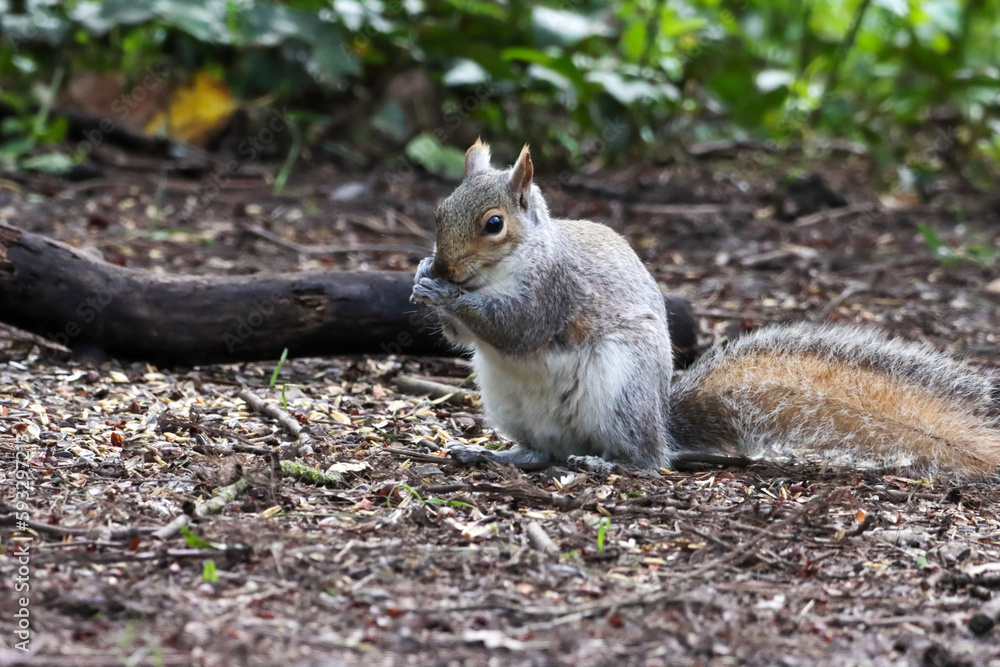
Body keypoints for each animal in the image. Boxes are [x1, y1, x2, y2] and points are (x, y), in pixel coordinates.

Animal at [410, 139, 1000, 477]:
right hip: (508, 402)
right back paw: (494, 453)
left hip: (620, 388)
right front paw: (421, 278)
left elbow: (516, 327)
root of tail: (663, 424)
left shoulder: (555, 290)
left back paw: (605, 463)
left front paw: (446, 295)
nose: (445, 267)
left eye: (494, 224)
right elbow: (467, 338)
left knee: (648, 461)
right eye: (439, 211)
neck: (501, 270)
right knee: (540, 452)